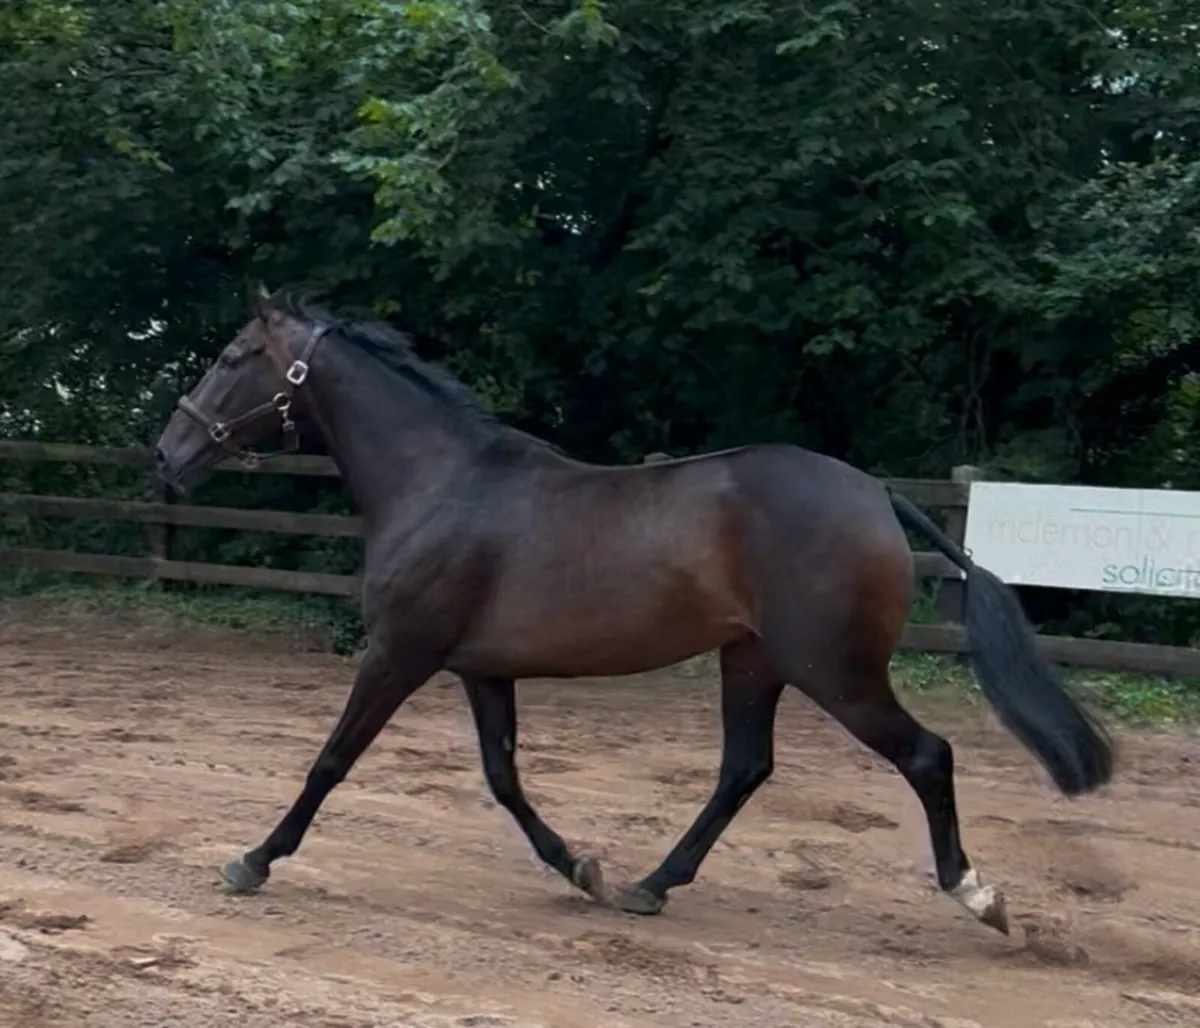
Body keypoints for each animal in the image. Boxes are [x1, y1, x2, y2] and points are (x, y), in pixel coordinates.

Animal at [153, 287, 1114, 936]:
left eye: (233, 356)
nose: (167, 453)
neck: (441, 484)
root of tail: (877, 494)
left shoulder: (399, 652)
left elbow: (331, 760)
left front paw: (250, 861)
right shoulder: (481, 669)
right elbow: (504, 778)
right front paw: (582, 867)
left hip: (834, 671)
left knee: (925, 755)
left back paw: (978, 895)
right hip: (753, 662)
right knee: (744, 768)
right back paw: (650, 884)